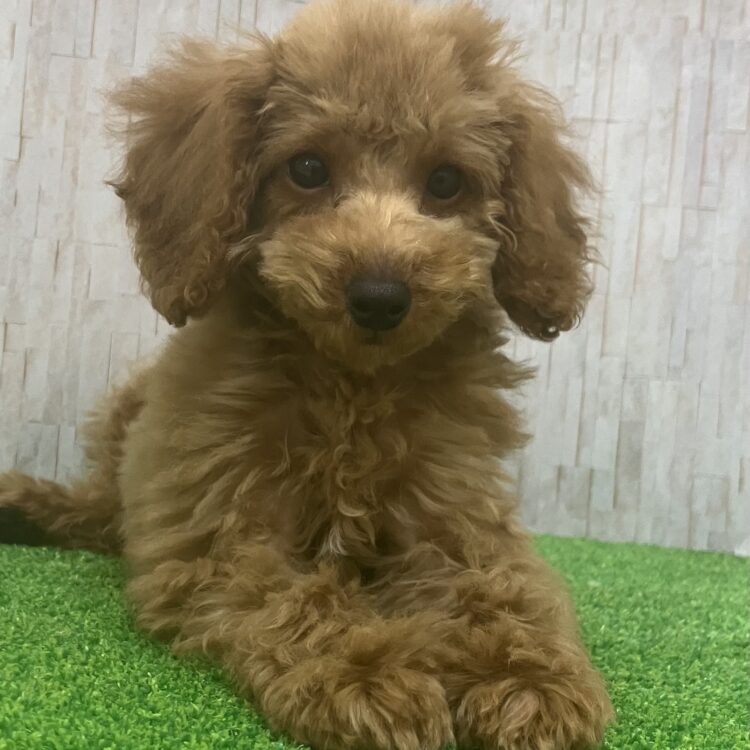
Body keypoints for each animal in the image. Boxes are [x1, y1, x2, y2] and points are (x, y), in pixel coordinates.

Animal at [0, 1, 614, 748]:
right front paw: (368, 675)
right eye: (309, 168)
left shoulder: (456, 514)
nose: (379, 296)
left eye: (445, 182)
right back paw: (26, 507)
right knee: (101, 510)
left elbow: (502, 590)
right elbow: (297, 601)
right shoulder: (216, 533)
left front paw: (529, 680)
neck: (352, 382)